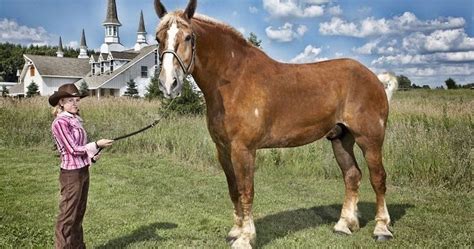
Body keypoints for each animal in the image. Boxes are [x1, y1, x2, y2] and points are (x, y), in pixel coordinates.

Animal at [153, 0, 396, 247]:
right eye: (158, 38)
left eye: (188, 37)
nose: (169, 84)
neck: (235, 80)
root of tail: (375, 79)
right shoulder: (222, 149)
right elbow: (233, 190)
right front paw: (235, 231)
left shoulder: (243, 149)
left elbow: (246, 190)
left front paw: (245, 238)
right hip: (340, 138)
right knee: (352, 175)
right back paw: (344, 225)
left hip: (370, 140)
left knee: (378, 179)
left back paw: (381, 228)